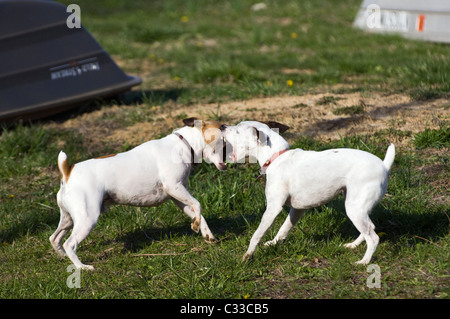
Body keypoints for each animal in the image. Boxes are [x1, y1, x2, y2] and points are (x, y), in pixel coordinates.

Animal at [51, 119, 227, 272]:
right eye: (222, 128)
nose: (227, 126)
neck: (184, 144)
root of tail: (68, 171)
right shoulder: (174, 187)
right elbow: (198, 205)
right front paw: (196, 226)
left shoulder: (179, 198)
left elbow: (198, 213)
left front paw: (208, 234)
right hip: (88, 219)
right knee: (69, 244)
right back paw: (82, 267)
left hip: (69, 219)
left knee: (55, 238)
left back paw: (62, 256)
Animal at [224, 121, 394, 266]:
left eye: (238, 130)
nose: (222, 126)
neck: (277, 157)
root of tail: (384, 166)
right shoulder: (298, 209)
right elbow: (284, 228)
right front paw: (273, 243)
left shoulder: (273, 209)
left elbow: (257, 235)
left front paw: (247, 256)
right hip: (358, 207)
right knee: (369, 228)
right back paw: (353, 245)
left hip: (354, 209)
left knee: (373, 237)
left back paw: (364, 262)